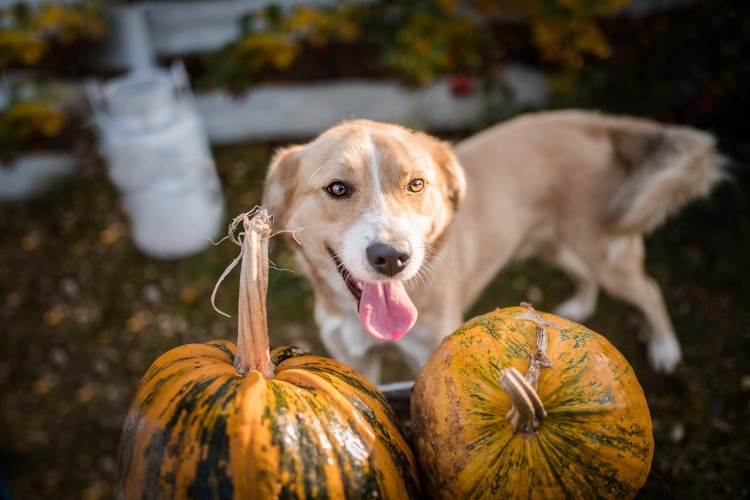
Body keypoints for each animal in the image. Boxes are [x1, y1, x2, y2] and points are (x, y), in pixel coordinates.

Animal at [262, 110, 724, 382]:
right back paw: (578, 307)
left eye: (417, 185)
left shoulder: (428, 358)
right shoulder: (357, 363)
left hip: (607, 254)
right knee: (584, 274)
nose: (393, 258)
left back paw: (665, 348)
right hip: (555, 244)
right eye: (337, 188)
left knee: (649, 289)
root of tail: (592, 122)